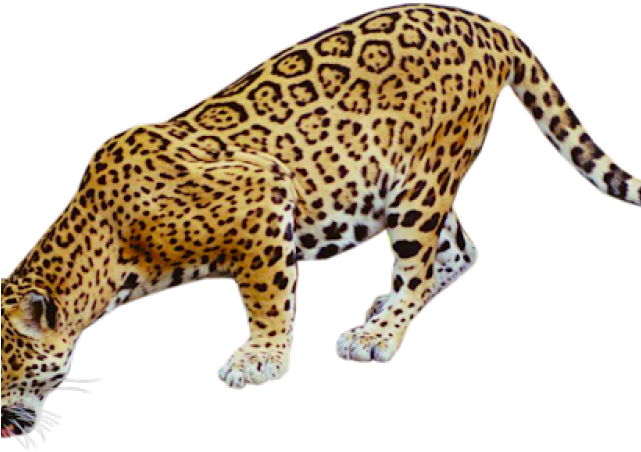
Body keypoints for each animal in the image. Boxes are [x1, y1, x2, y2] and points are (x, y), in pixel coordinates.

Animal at [2, 2, 639, 447]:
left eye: (8, 361)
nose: (3, 422)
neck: (106, 251)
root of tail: (482, 23)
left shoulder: (262, 197)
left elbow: (266, 296)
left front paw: (261, 359)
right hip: (406, 183)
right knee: (461, 251)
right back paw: (382, 308)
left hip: (420, 185)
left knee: (418, 265)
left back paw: (377, 335)